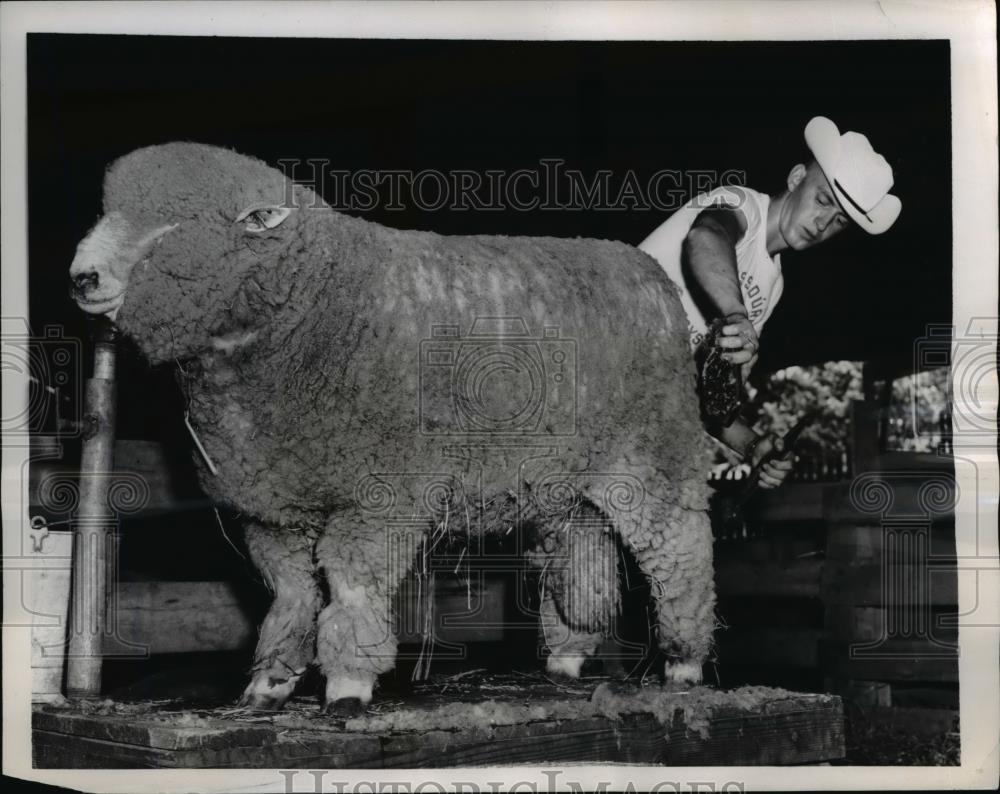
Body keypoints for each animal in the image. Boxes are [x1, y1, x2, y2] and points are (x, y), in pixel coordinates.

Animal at [68, 142, 712, 712]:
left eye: (176, 224)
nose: (82, 277)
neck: (315, 306)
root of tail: (645, 268)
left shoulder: (378, 494)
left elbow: (352, 585)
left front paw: (348, 685)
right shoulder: (270, 508)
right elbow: (292, 593)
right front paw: (269, 681)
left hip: (653, 456)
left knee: (680, 553)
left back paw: (684, 663)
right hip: (564, 487)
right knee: (577, 563)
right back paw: (566, 660)